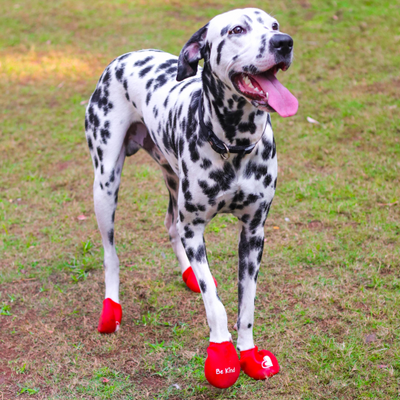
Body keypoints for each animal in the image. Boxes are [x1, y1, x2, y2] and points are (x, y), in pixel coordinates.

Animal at [84, 6, 296, 388]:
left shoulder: (254, 233)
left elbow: (247, 304)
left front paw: (250, 354)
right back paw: (111, 310)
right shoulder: (195, 229)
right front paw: (223, 357)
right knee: (111, 253)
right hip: (105, 183)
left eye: (274, 25)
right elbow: (216, 303)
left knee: (170, 224)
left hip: (171, 176)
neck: (233, 144)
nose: (284, 42)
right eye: (237, 29)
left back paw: (187, 274)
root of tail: (125, 57)